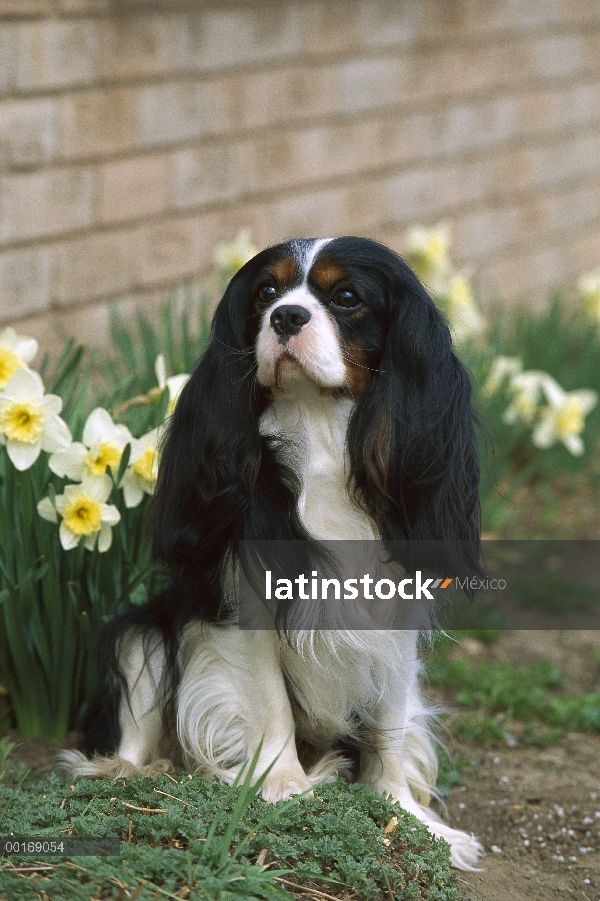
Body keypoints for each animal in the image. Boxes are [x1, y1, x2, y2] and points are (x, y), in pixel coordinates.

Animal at [61, 236, 482, 868]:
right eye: (266, 292)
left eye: (347, 297)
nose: (286, 317)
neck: (322, 433)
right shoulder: (244, 605)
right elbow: (271, 703)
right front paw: (284, 788)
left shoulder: (395, 610)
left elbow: (387, 726)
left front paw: (406, 816)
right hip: (141, 632)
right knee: (135, 712)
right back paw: (135, 774)